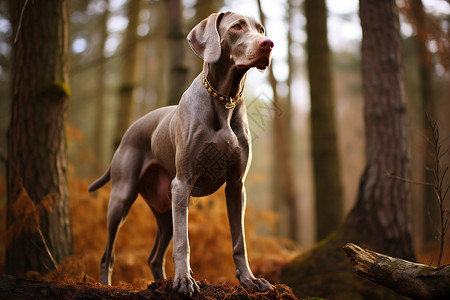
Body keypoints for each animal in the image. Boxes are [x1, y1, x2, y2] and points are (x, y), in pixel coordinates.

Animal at [89, 11, 274, 296]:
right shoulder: (183, 183)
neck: (224, 99)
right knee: (107, 254)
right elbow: (183, 242)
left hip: (165, 207)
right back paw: (108, 285)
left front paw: (249, 280)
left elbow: (239, 241)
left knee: (154, 256)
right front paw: (185, 280)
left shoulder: (235, 186)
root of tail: (130, 130)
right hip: (123, 198)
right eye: (237, 27)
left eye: (261, 29)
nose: (269, 44)